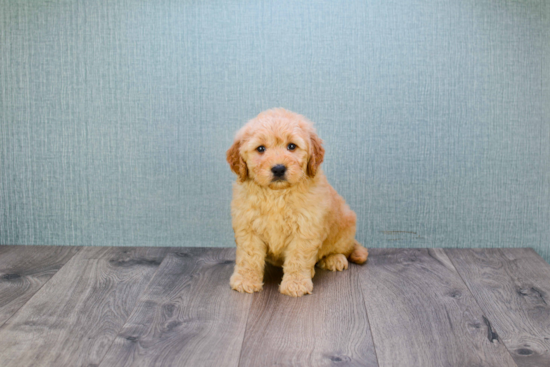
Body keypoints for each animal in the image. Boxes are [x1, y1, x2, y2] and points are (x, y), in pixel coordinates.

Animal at [226, 108, 368, 298]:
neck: (277, 194)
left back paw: (334, 259)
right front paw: (246, 280)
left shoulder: (306, 228)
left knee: (340, 249)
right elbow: (249, 256)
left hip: (345, 226)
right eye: (260, 149)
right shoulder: (247, 226)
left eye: (292, 146)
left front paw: (295, 284)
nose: (278, 168)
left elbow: (298, 258)